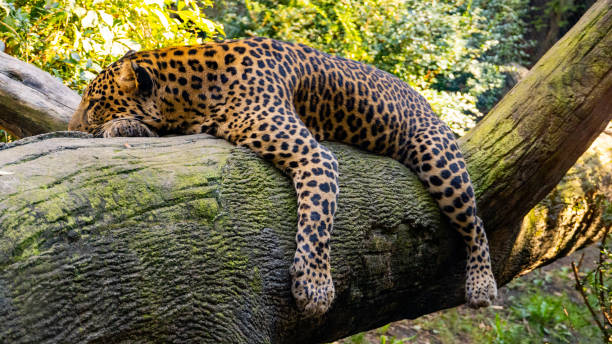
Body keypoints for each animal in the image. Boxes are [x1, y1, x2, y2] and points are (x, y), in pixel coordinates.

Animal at [68, 36, 498, 316]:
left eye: (93, 103)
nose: (70, 127)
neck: (193, 92)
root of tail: (428, 105)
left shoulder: (315, 155)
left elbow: (319, 219)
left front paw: (315, 286)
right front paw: (123, 128)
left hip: (438, 158)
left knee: (476, 224)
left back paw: (482, 286)